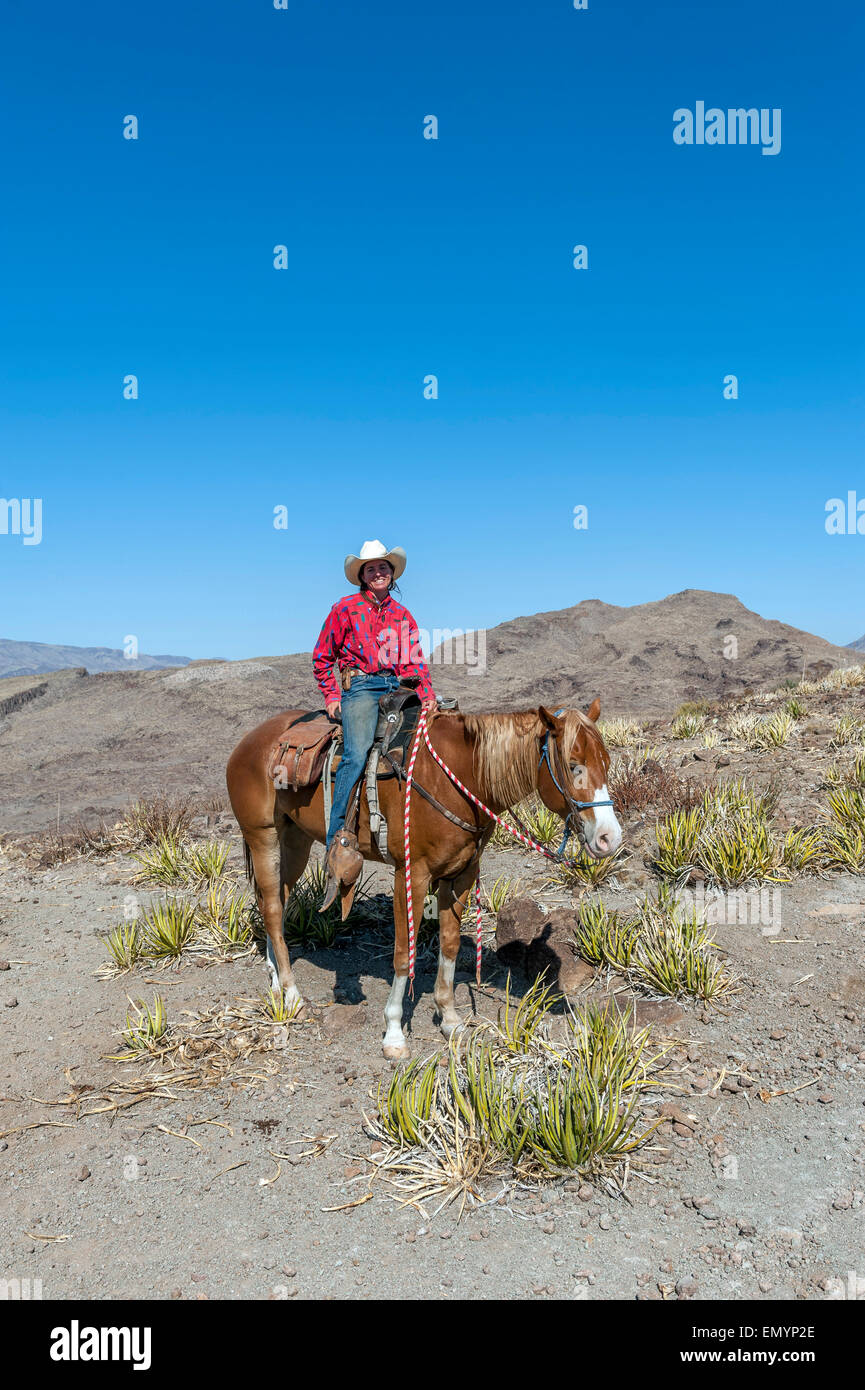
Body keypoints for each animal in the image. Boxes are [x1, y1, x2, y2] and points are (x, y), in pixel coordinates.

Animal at [226, 700, 620, 1056]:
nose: (609, 839)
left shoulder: (462, 873)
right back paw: (292, 994)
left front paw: (449, 1019)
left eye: (607, 763)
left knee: (276, 901)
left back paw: (275, 978)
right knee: (272, 908)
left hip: (295, 839)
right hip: (263, 836)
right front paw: (394, 1033)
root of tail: (248, 741)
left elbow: (449, 944)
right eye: (573, 766)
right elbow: (405, 952)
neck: (457, 778)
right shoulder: (411, 874)